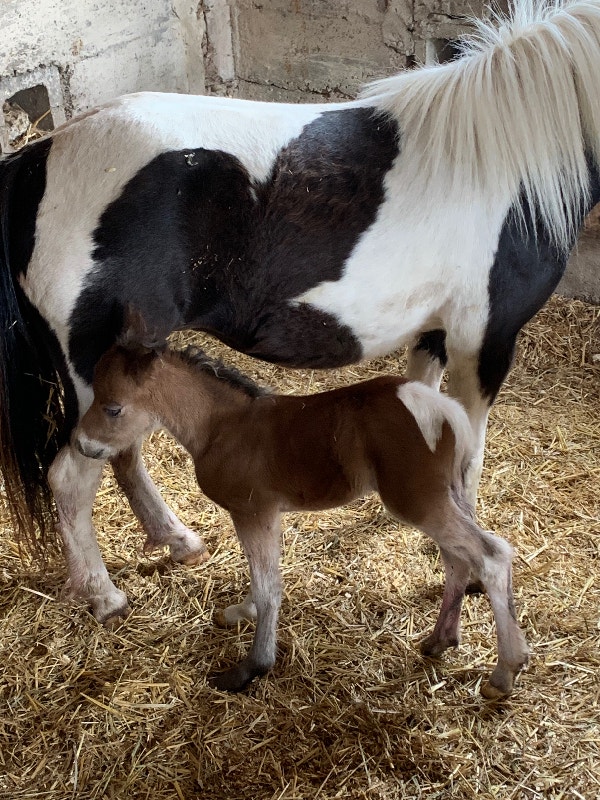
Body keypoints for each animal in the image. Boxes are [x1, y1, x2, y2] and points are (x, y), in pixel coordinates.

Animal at [1, 0, 599, 625]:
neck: (512, 158)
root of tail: (38, 159)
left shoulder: (435, 333)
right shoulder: (484, 339)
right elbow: (469, 457)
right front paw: (474, 573)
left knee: (123, 448)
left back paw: (178, 542)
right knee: (72, 477)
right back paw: (104, 595)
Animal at [73, 314, 530, 696]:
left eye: (113, 408)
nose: (81, 445)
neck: (223, 427)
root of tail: (446, 410)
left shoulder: (252, 510)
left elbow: (269, 585)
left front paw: (251, 667)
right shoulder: (267, 514)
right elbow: (263, 575)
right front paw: (241, 612)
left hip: (418, 500)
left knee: (491, 554)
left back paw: (505, 672)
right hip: (445, 496)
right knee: (457, 558)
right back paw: (441, 640)